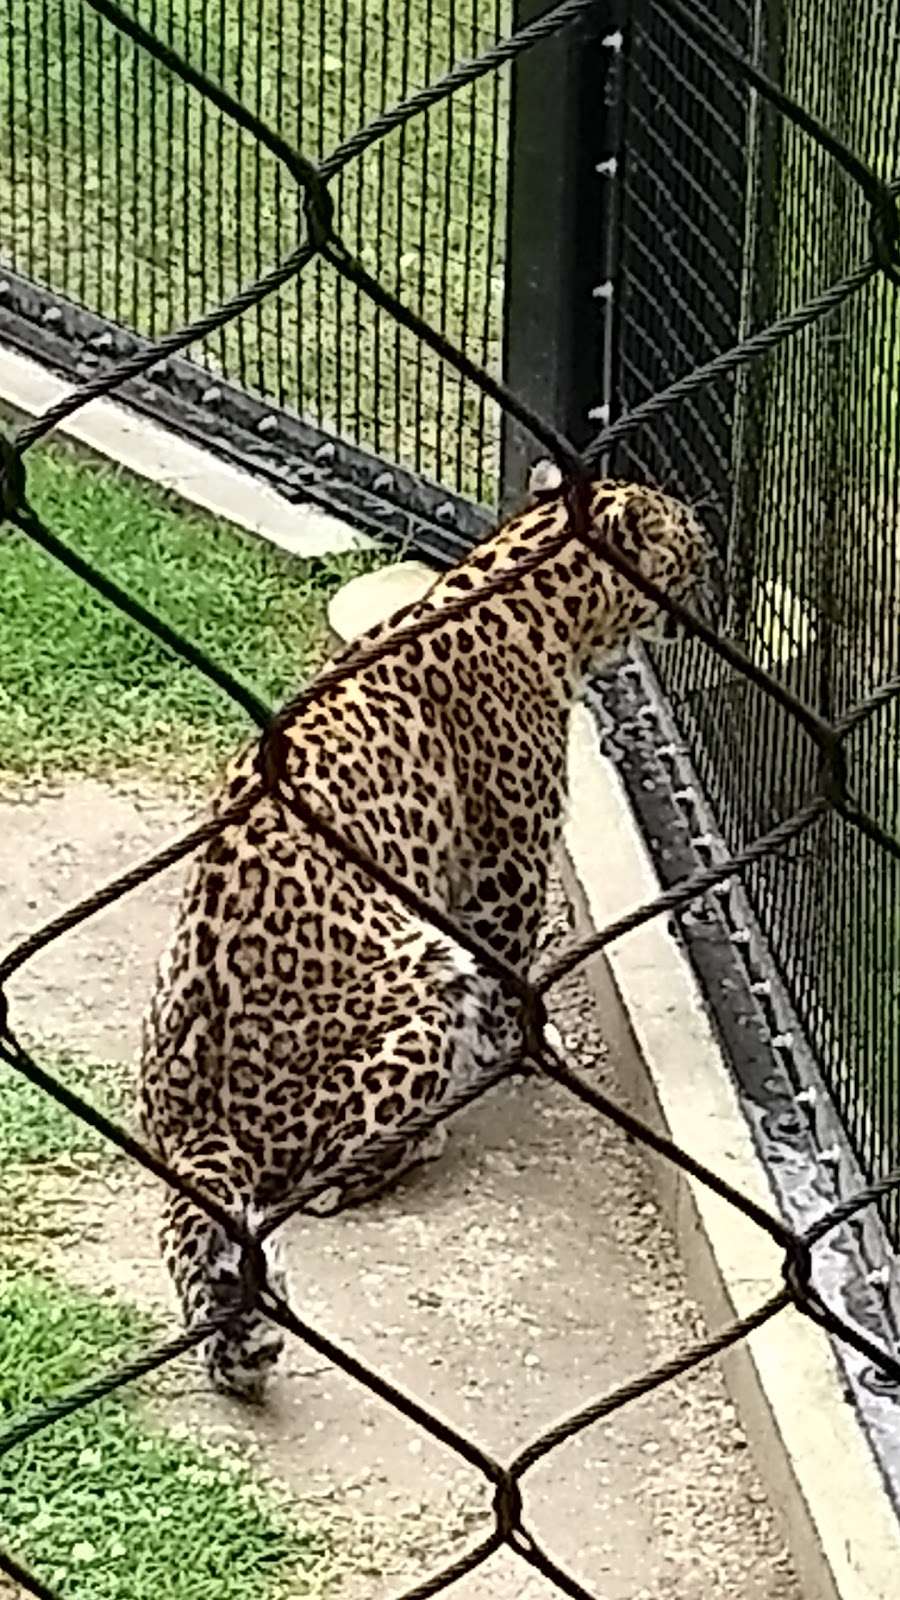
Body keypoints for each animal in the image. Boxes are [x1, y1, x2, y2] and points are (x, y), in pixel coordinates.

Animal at [136, 473, 704, 1401]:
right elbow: (513, 962)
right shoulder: (508, 864)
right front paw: (526, 1046)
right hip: (426, 976)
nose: (710, 586)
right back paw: (415, 1140)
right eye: (691, 542)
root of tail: (193, 1123)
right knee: (318, 1181)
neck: (541, 595)